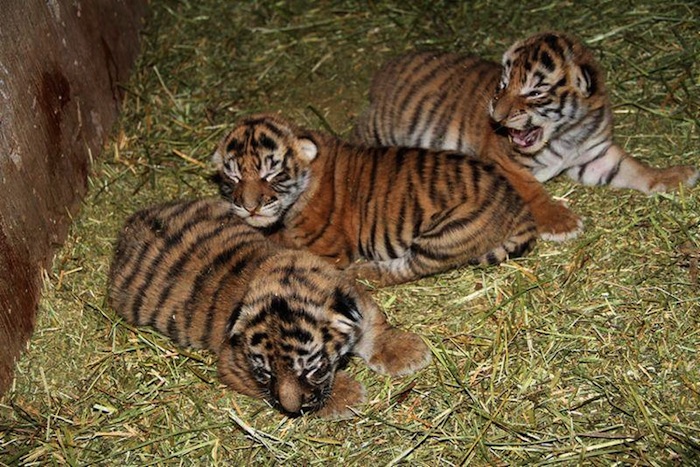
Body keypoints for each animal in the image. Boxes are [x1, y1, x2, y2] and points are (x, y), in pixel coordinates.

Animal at [107, 198, 432, 418]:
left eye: (312, 369)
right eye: (265, 374)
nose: (292, 410)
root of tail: (131, 224)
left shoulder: (354, 296)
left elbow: (375, 326)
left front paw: (406, 350)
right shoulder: (233, 366)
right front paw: (345, 394)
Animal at [211, 114, 537, 287]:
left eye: (272, 174)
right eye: (234, 177)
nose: (249, 207)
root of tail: (517, 204)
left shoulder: (328, 251)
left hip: (448, 233)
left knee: (407, 268)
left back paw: (362, 272)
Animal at [352, 31, 699, 241]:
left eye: (534, 92)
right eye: (504, 84)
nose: (497, 115)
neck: (568, 135)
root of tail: (385, 69)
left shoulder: (596, 155)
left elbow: (634, 168)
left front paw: (672, 176)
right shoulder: (502, 161)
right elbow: (531, 189)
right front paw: (561, 222)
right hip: (380, 127)